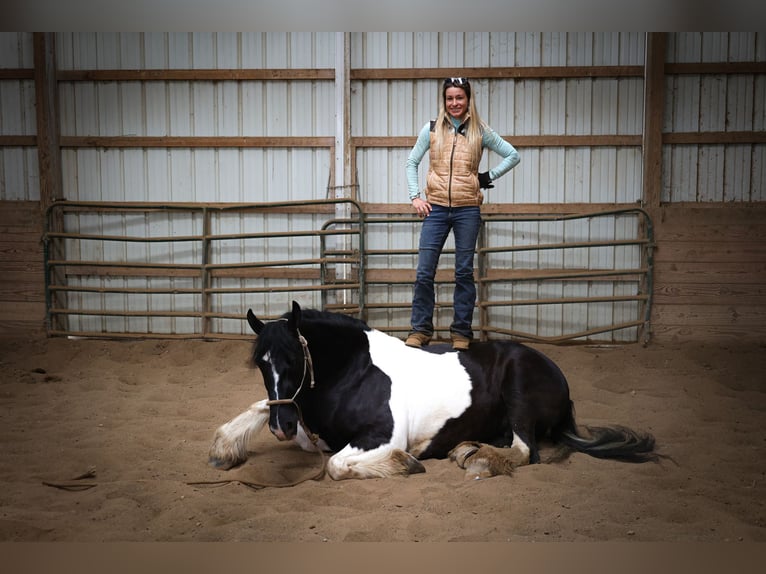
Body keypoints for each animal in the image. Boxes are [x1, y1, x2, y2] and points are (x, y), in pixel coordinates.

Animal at [210, 304, 660, 484]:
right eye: (261, 363)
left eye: (293, 360)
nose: (281, 426)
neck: (355, 371)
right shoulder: (309, 430)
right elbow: (279, 421)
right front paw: (225, 447)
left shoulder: (382, 435)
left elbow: (336, 465)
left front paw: (405, 463)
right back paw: (468, 449)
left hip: (518, 391)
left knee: (524, 450)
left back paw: (477, 460)